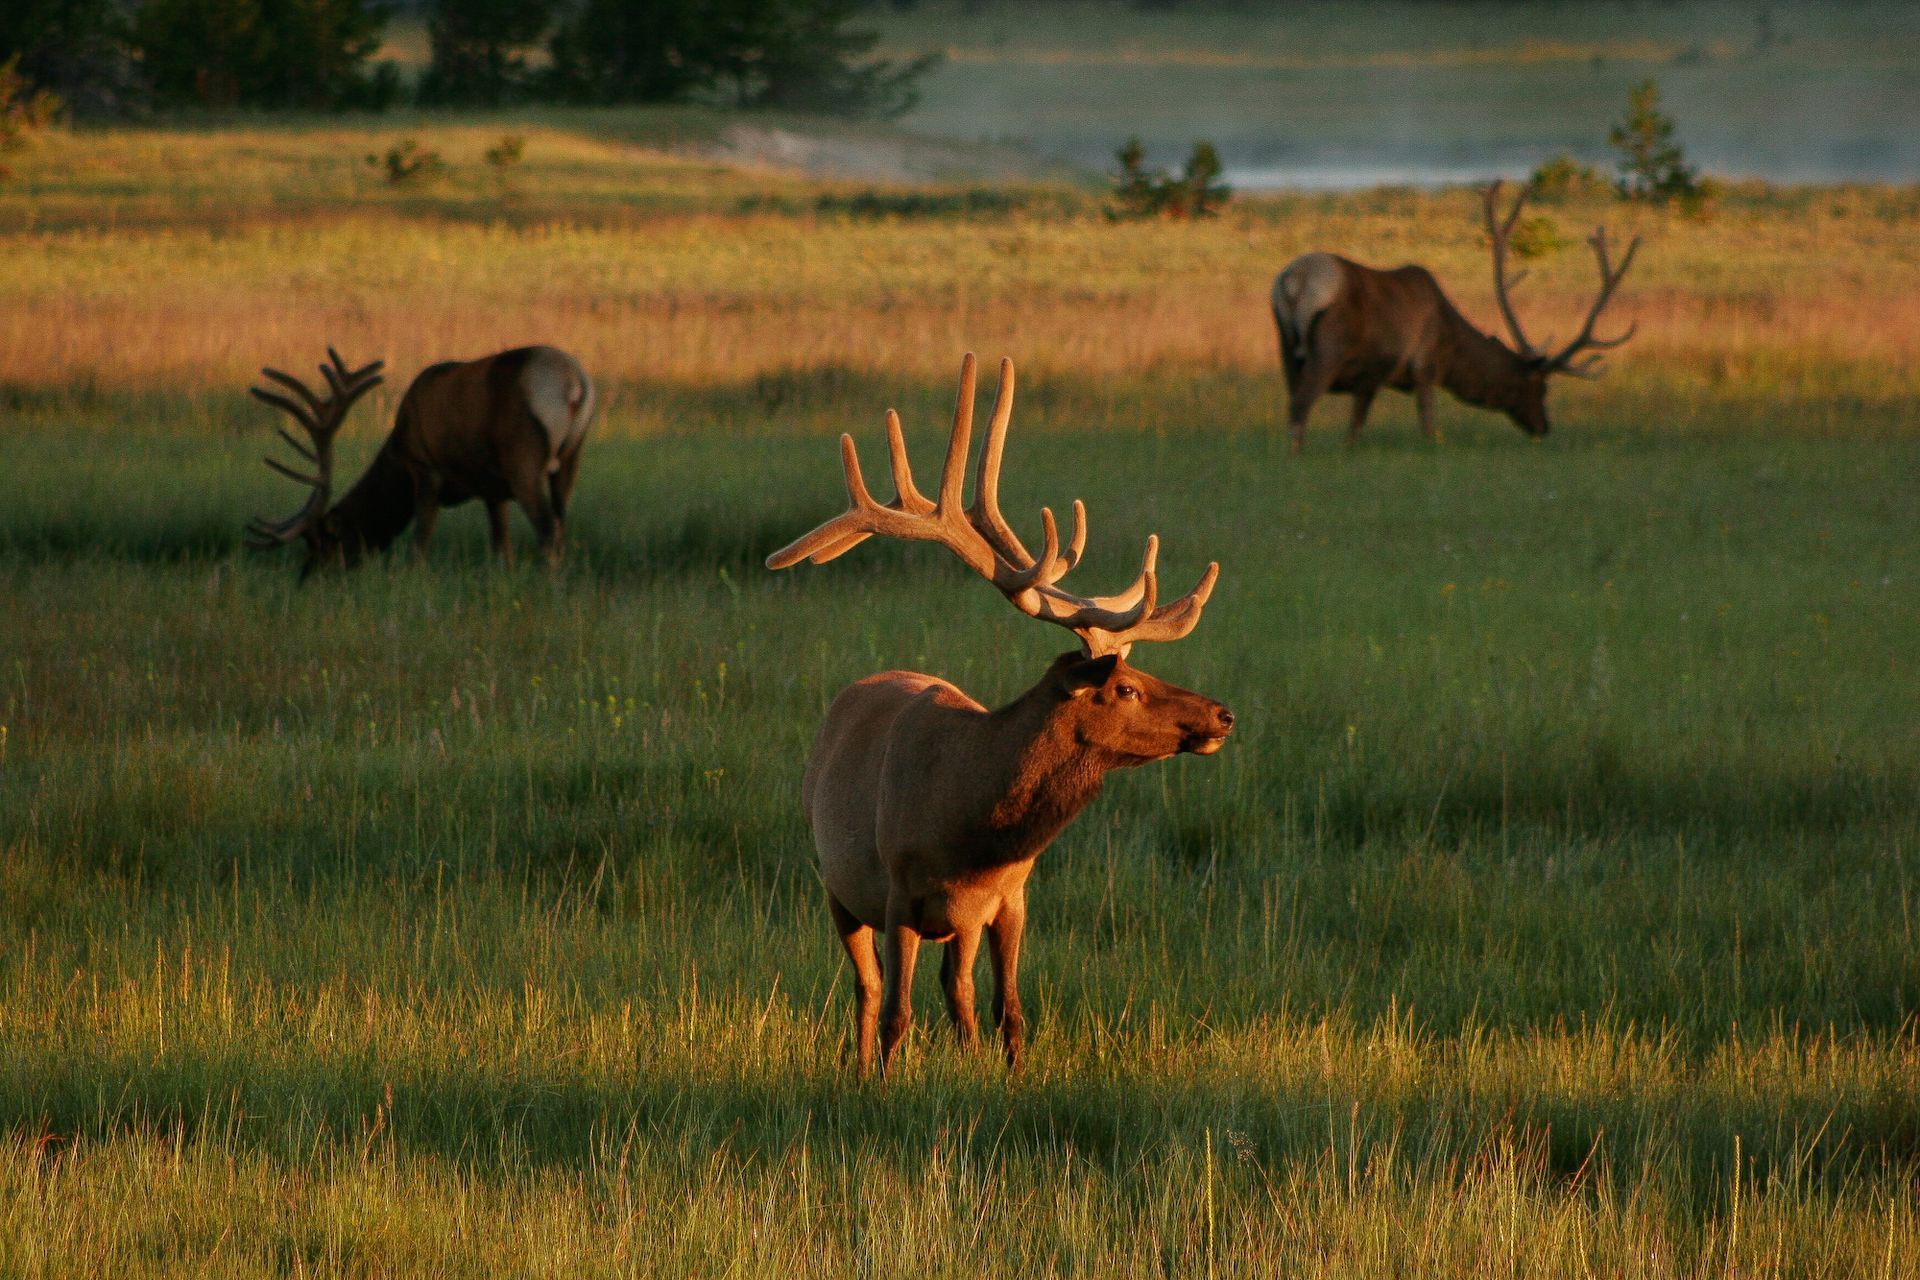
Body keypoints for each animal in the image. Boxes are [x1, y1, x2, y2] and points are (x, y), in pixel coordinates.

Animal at [245, 345, 595, 574]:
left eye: (325, 542)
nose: (306, 579)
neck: (397, 452)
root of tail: (574, 382)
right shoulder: (492, 489)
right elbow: (501, 547)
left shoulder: (425, 467)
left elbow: (419, 543)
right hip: (571, 458)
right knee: (561, 522)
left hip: (523, 458)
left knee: (548, 530)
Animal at [767, 353, 1235, 1078]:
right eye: (1125, 687)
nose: (1222, 713)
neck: (971, 832)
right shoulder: (898, 887)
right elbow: (897, 1011)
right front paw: (884, 1084)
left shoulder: (1010, 897)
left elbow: (1008, 1010)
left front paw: (1008, 1078)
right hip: (836, 886)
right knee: (869, 989)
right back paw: (860, 1067)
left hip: (949, 922)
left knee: (954, 987)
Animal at [1269, 180, 1640, 452]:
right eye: (1540, 388)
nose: (1544, 427)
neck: (1451, 350)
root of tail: (1294, 283)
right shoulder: (1424, 367)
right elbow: (1427, 425)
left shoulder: (1370, 379)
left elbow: (1354, 432)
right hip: (1329, 348)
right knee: (1300, 404)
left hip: (1286, 348)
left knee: (1291, 400)